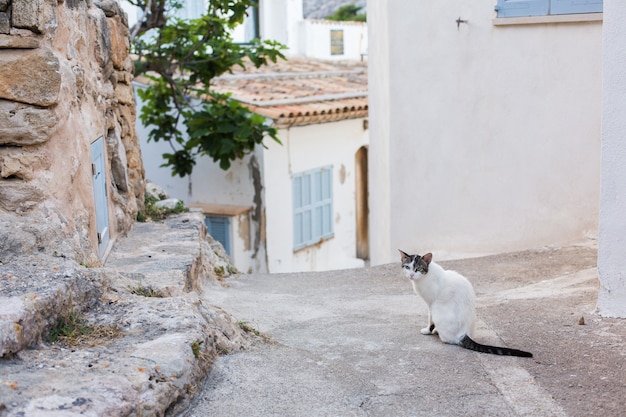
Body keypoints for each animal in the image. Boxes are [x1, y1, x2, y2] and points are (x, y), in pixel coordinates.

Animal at [400, 249, 532, 356]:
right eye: (407, 267)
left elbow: (430, 320)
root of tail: (463, 333)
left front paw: (427, 330)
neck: (425, 276)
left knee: (449, 339)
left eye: (418, 269)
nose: (411, 275)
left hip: (438, 309)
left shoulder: (431, 303)